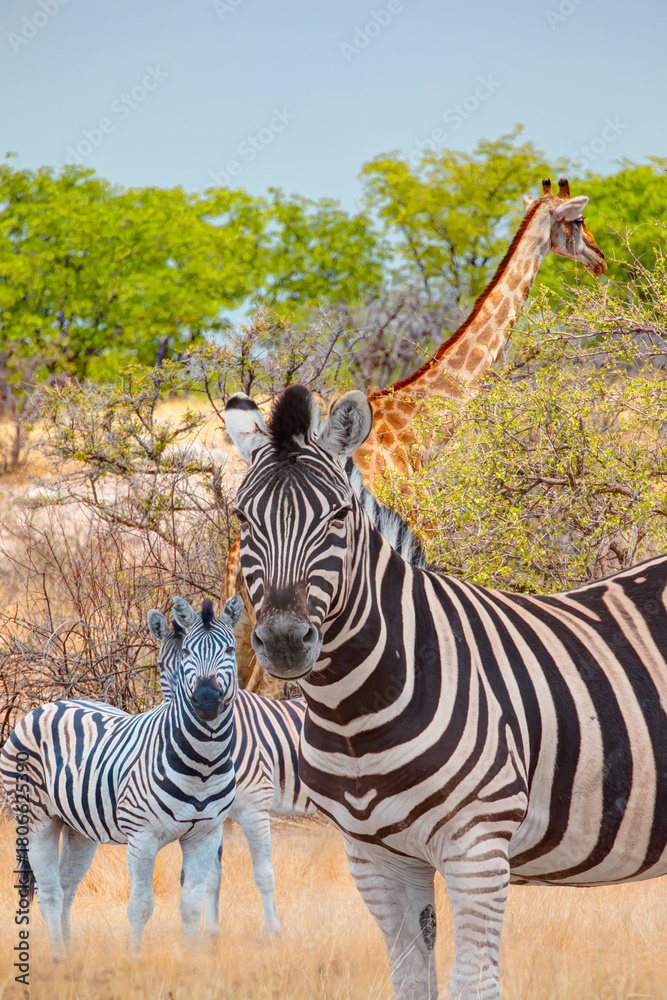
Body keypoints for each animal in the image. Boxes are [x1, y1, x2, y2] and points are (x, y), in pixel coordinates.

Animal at [0, 596, 242, 959]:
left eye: (230, 649)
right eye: (187, 653)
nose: (206, 700)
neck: (203, 763)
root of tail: (48, 705)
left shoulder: (205, 835)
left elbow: (191, 905)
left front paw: (188, 959)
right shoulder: (142, 838)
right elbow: (141, 906)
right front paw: (134, 959)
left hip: (78, 829)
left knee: (66, 887)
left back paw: (70, 955)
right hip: (37, 818)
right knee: (49, 892)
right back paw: (58, 957)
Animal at [146, 607, 316, 936]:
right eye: (161, 666)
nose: (183, 719)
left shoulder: (255, 809)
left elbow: (263, 873)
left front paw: (272, 933)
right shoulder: (214, 818)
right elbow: (212, 877)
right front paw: (211, 933)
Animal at [224, 383, 667, 1000]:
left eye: (338, 516)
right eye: (242, 517)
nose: (286, 641)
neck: (353, 715)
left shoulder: (476, 850)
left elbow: (473, 986)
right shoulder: (374, 858)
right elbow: (411, 982)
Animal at [225, 176, 607, 690]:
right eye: (579, 221)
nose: (599, 258)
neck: (415, 423)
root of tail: (230, 559)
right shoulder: (418, 538)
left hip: (246, 629)